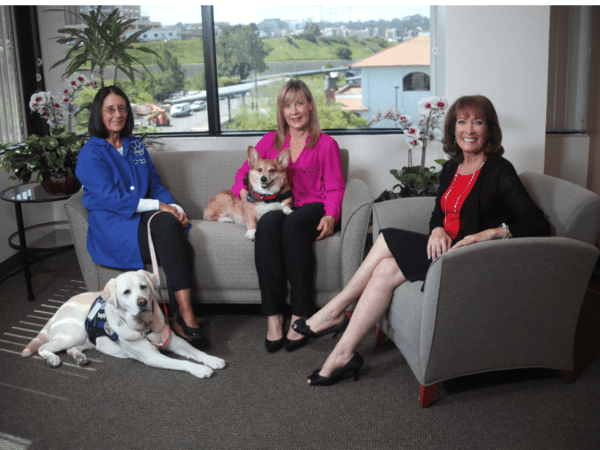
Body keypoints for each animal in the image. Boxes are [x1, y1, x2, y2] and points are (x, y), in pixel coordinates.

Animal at [21, 268, 225, 378]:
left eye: (144, 287)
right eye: (126, 292)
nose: (142, 302)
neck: (145, 327)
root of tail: (58, 309)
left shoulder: (175, 341)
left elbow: (196, 351)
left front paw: (212, 359)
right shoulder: (151, 357)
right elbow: (181, 363)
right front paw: (200, 369)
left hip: (84, 339)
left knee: (71, 348)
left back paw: (79, 357)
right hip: (74, 333)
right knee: (44, 346)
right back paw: (52, 359)